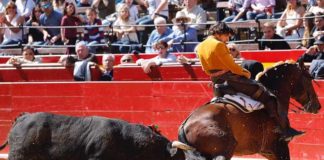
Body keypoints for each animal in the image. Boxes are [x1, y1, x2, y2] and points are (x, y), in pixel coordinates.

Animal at [176, 60, 322, 160]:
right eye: (309, 79)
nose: (318, 106)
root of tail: (185, 125)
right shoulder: (280, 147)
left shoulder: (267, 151)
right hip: (223, 151)